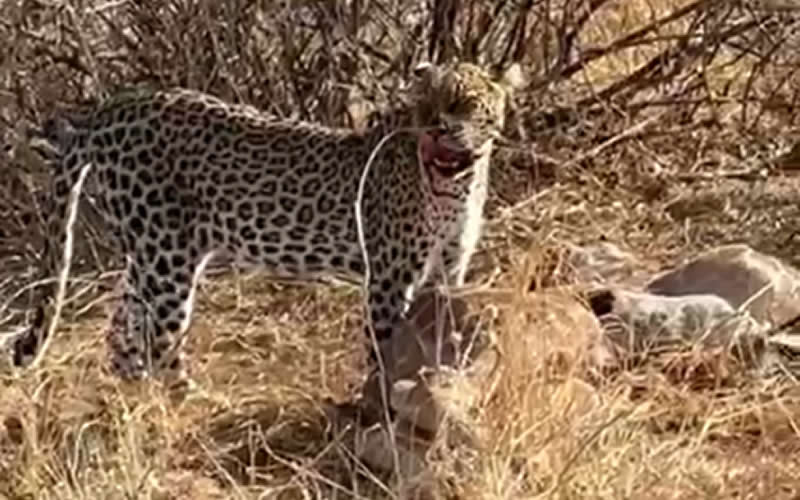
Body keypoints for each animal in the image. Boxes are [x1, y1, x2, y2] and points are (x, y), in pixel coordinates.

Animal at [12, 61, 524, 384]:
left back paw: (129, 389)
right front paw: (378, 392)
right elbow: (383, 342)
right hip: (166, 256)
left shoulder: (450, 268)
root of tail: (109, 109)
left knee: (123, 320)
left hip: (152, 250)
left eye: (463, 102)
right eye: (425, 104)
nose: (436, 126)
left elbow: (439, 325)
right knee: (161, 338)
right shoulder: (390, 278)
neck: (457, 181)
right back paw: (184, 400)